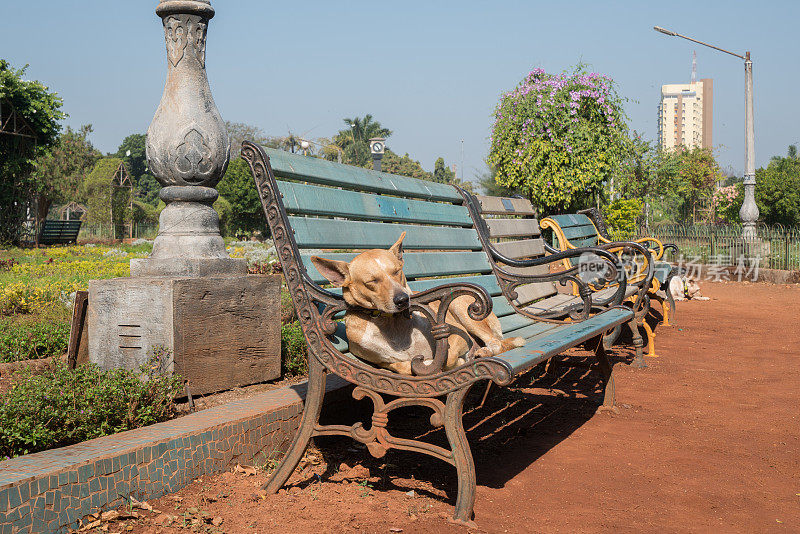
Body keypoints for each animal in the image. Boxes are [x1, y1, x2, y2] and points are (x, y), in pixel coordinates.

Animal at [308, 233, 524, 376]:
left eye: (397, 271)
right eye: (371, 282)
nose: (403, 299)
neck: (391, 324)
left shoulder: (458, 335)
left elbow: (448, 358)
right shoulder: (380, 361)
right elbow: (403, 367)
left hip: (462, 310)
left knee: (496, 343)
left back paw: (485, 350)